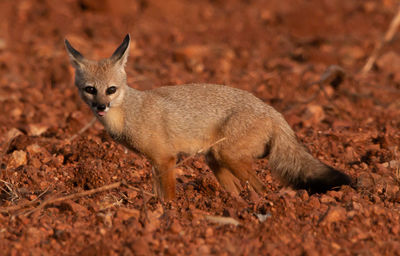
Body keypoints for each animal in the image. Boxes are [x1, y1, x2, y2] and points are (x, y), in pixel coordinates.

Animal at [65, 34, 350, 201]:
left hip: (228, 156)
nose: (101, 107)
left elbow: (168, 198)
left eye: (111, 89)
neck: (130, 112)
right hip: (216, 159)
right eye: (91, 89)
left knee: (261, 189)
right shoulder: (156, 162)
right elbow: (158, 195)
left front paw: (169, 216)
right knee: (239, 192)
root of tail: (273, 111)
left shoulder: (166, 159)